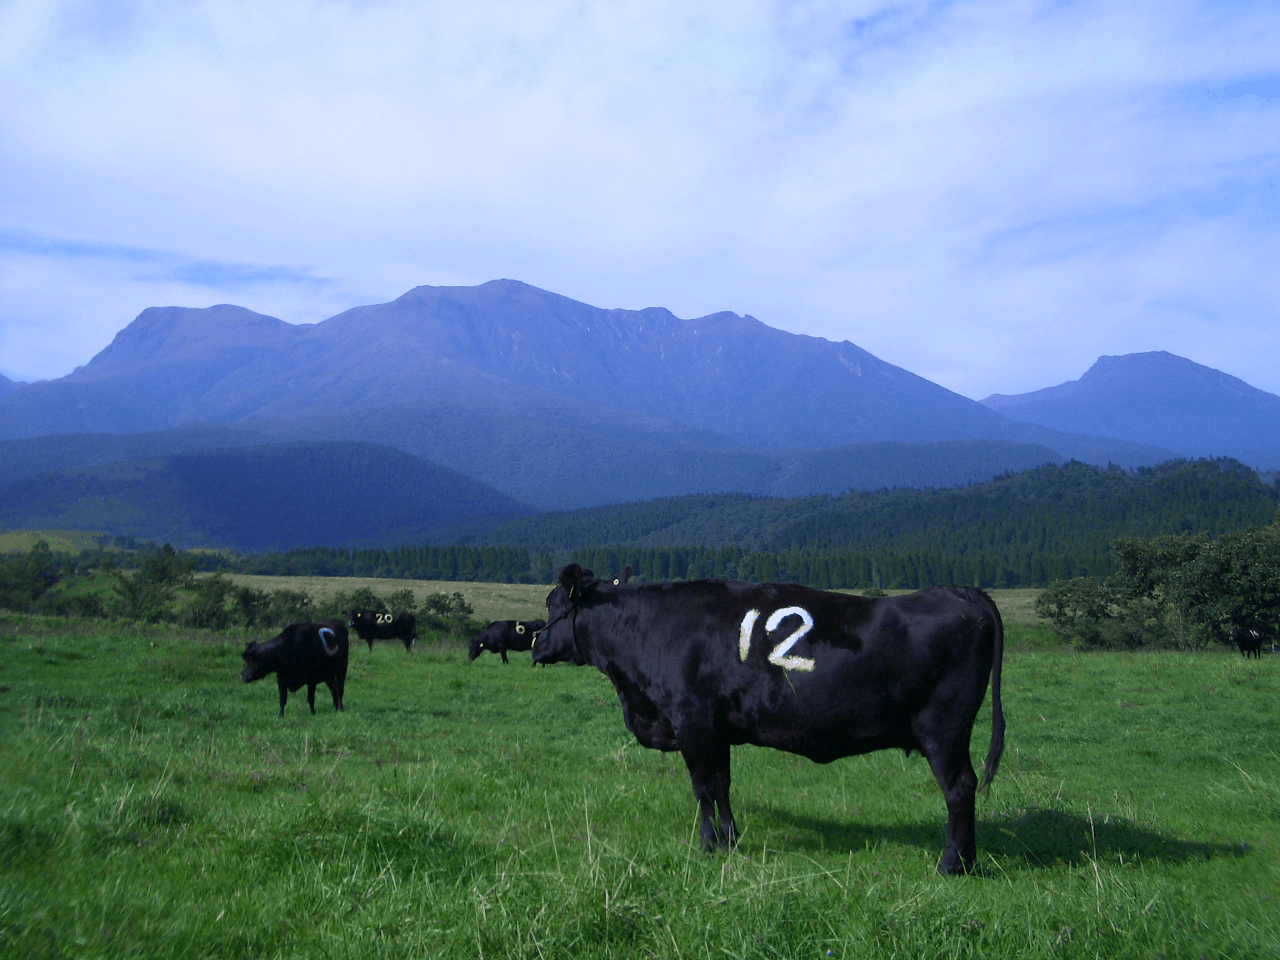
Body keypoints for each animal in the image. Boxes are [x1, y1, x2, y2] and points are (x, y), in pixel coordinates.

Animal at [535, 563, 1003, 880]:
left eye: (551, 603)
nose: (535, 643)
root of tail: (961, 592)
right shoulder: (716, 730)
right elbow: (721, 786)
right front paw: (729, 841)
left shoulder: (693, 721)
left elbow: (703, 788)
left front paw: (709, 846)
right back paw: (967, 860)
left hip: (944, 731)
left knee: (959, 789)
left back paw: (952, 864)